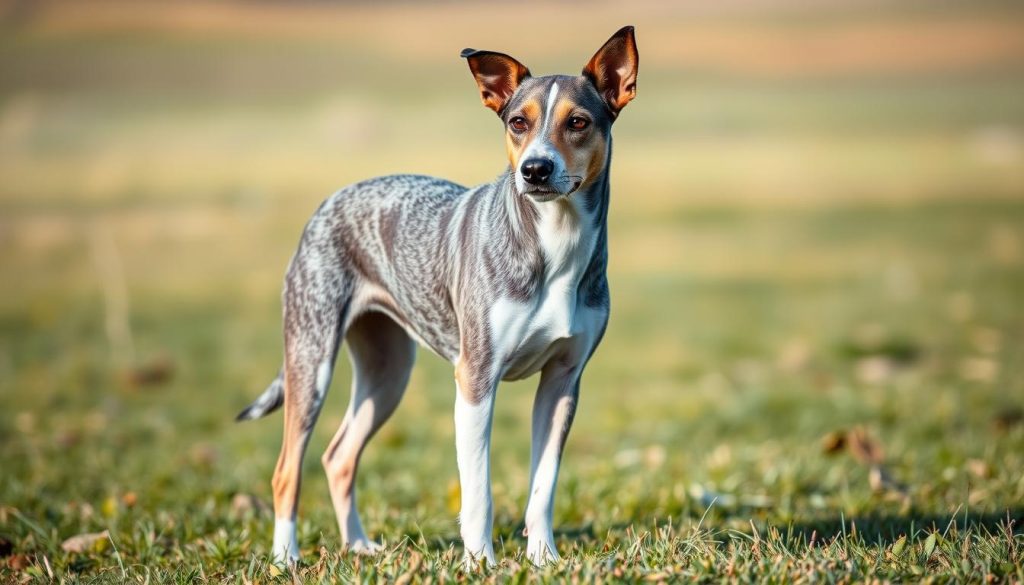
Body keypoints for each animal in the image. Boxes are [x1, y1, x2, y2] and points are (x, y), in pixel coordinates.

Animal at [237, 27, 638, 569]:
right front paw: (481, 563)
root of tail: (332, 199)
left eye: (577, 122)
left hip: (387, 372)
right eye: (517, 122)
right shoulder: (475, 379)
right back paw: (285, 558)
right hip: (311, 357)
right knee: (287, 469)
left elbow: (543, 486)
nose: (534, 169)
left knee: (338, 456)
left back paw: (358, 545)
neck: (555, 242)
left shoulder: (563, 381)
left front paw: (544, 559)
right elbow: (478, 492)